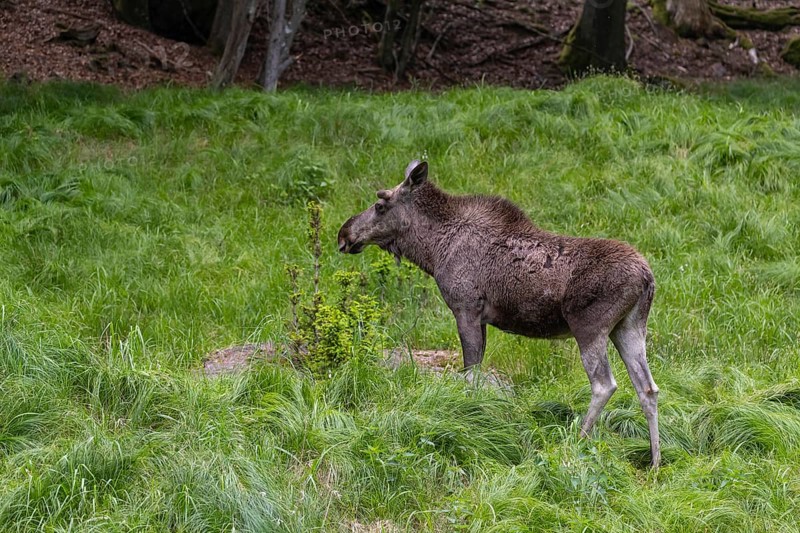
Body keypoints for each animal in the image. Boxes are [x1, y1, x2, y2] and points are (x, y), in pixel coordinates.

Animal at [338, 160, 660, 467]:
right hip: (629, 327)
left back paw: (579, 440)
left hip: (590, 327)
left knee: (604, 385)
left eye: (380, 205)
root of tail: (647, 278)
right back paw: (655, 461)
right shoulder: (481, 318)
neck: (433, 251)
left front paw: (470, 417)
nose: (344, 233)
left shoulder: (465, 307)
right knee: (648, 388)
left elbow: (470, 374)